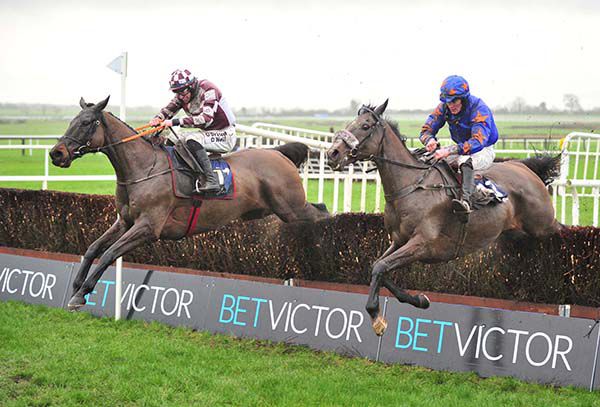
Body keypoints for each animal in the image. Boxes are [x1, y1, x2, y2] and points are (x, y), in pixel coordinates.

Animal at [49, 96, 329, 310]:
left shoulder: (148, 227)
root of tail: (278, 154)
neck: (144, 168)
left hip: (292, 208)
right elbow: (93, 248)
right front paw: (77, 286)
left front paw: (81, 293)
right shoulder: (125, 221)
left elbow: (109, 253)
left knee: (323, 214)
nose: (56, 153)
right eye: (71, 121)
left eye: (87, 122)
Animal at [327, 100, 561, 336]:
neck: (410, 186)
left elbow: (380, 267)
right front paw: (420, 299)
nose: (332, 153)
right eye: (350, 123)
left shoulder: (422, 244)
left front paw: (376, 317)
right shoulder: (399, 241)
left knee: (559, 229)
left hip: (542, 224)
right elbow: (379, 268)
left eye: (365, 126)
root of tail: (524, 167)